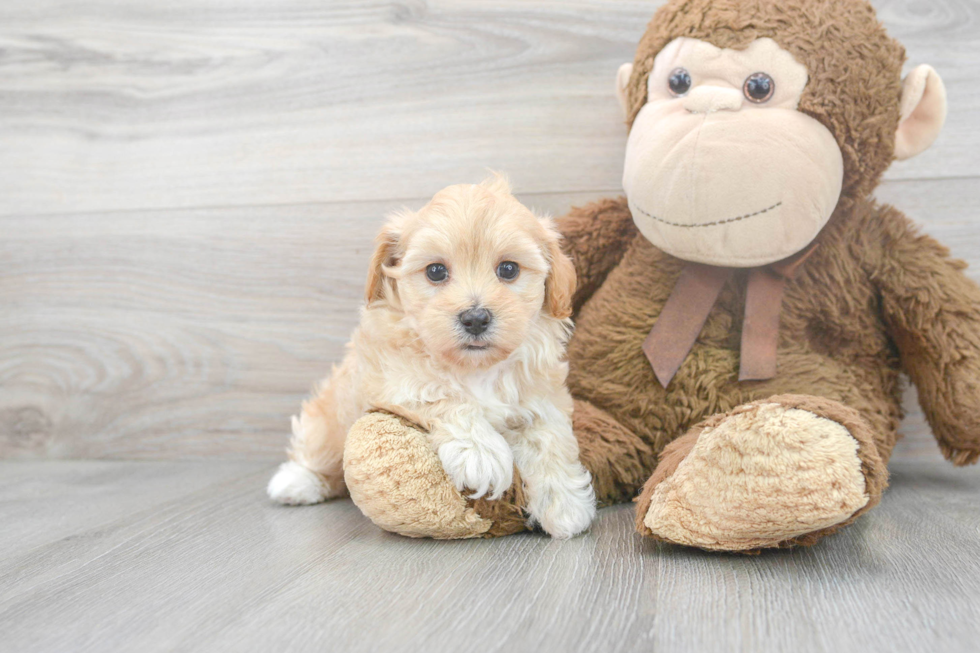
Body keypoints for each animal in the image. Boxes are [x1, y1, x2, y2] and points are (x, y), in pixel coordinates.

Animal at [266, 176, 596, 536]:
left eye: (509, 269)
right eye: (436, 271)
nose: (475, 318)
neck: (475, 369)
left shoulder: (542, 397)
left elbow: (549, 438)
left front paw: (564, 503)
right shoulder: (393, 378)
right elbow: (441, 394)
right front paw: (481, 454)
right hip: (330, 421)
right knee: (316, 451)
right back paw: (295, 483)